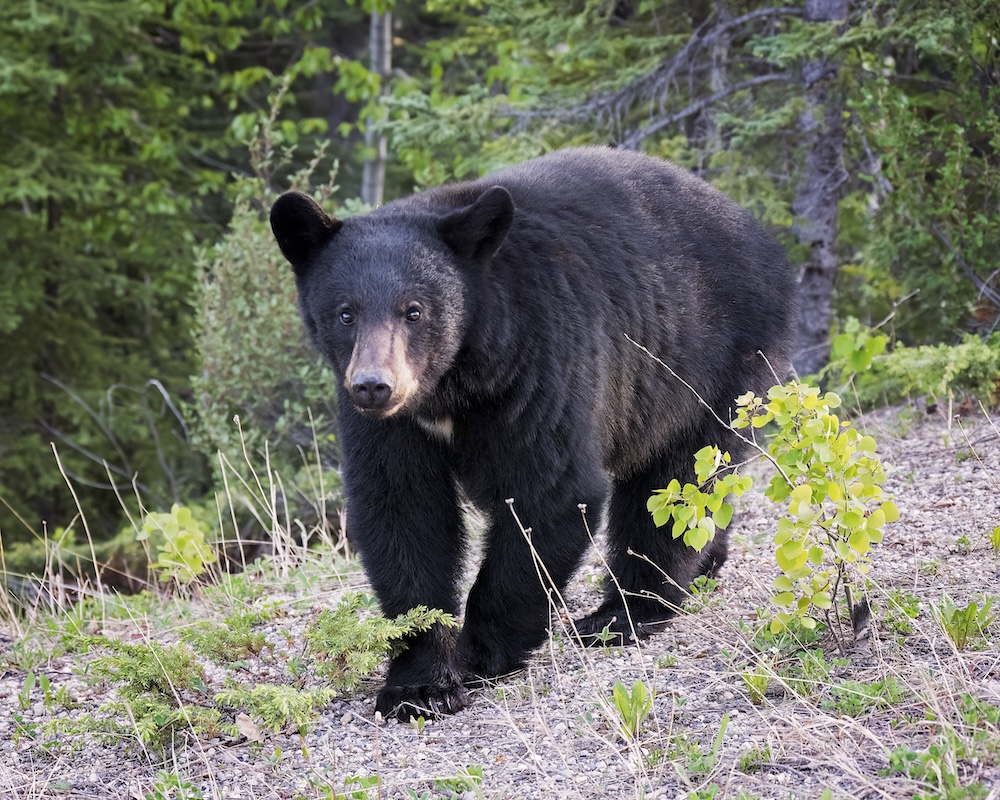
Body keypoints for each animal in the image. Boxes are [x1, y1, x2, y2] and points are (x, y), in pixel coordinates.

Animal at [269, 147, 795, 720]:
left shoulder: (540, 360)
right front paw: (419, 684)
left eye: (414, 310)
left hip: (707, 362)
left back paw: (622, 614)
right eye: (345, 313)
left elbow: (549, 492)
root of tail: (754, 227)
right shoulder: (393, 426)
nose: (373, 386)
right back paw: (702, 567)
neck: (453, 385)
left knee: (673, 485)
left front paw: (480, 653)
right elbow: (403, 511)